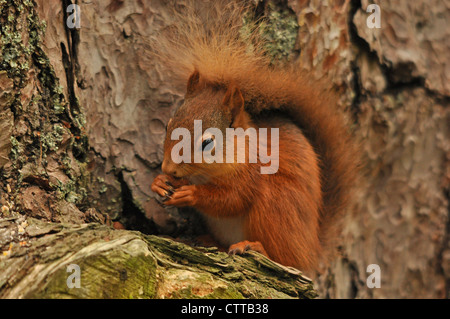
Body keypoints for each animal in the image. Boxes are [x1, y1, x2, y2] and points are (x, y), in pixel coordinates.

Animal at [149, 0, 356, 272]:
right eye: (167, 126)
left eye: (207, 142)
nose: (168, 168)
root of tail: (312, 250)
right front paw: (159, 182)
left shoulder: (255, 170)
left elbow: (233, 198)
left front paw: (190, 193)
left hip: (277, 205)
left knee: (286, 259)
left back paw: (255, 247)